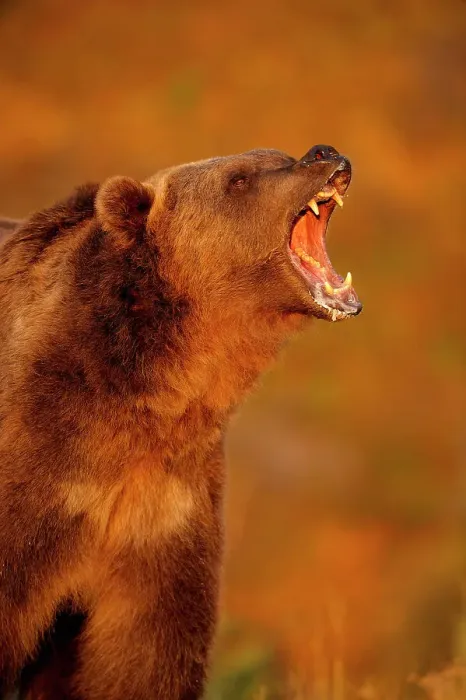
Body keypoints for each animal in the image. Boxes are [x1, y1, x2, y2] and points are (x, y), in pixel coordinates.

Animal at [0, 145, 361, 700]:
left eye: (278, 154)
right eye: (239, 179)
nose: (323, 154)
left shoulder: (165, 510)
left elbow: (147, 658)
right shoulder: (37, 476)